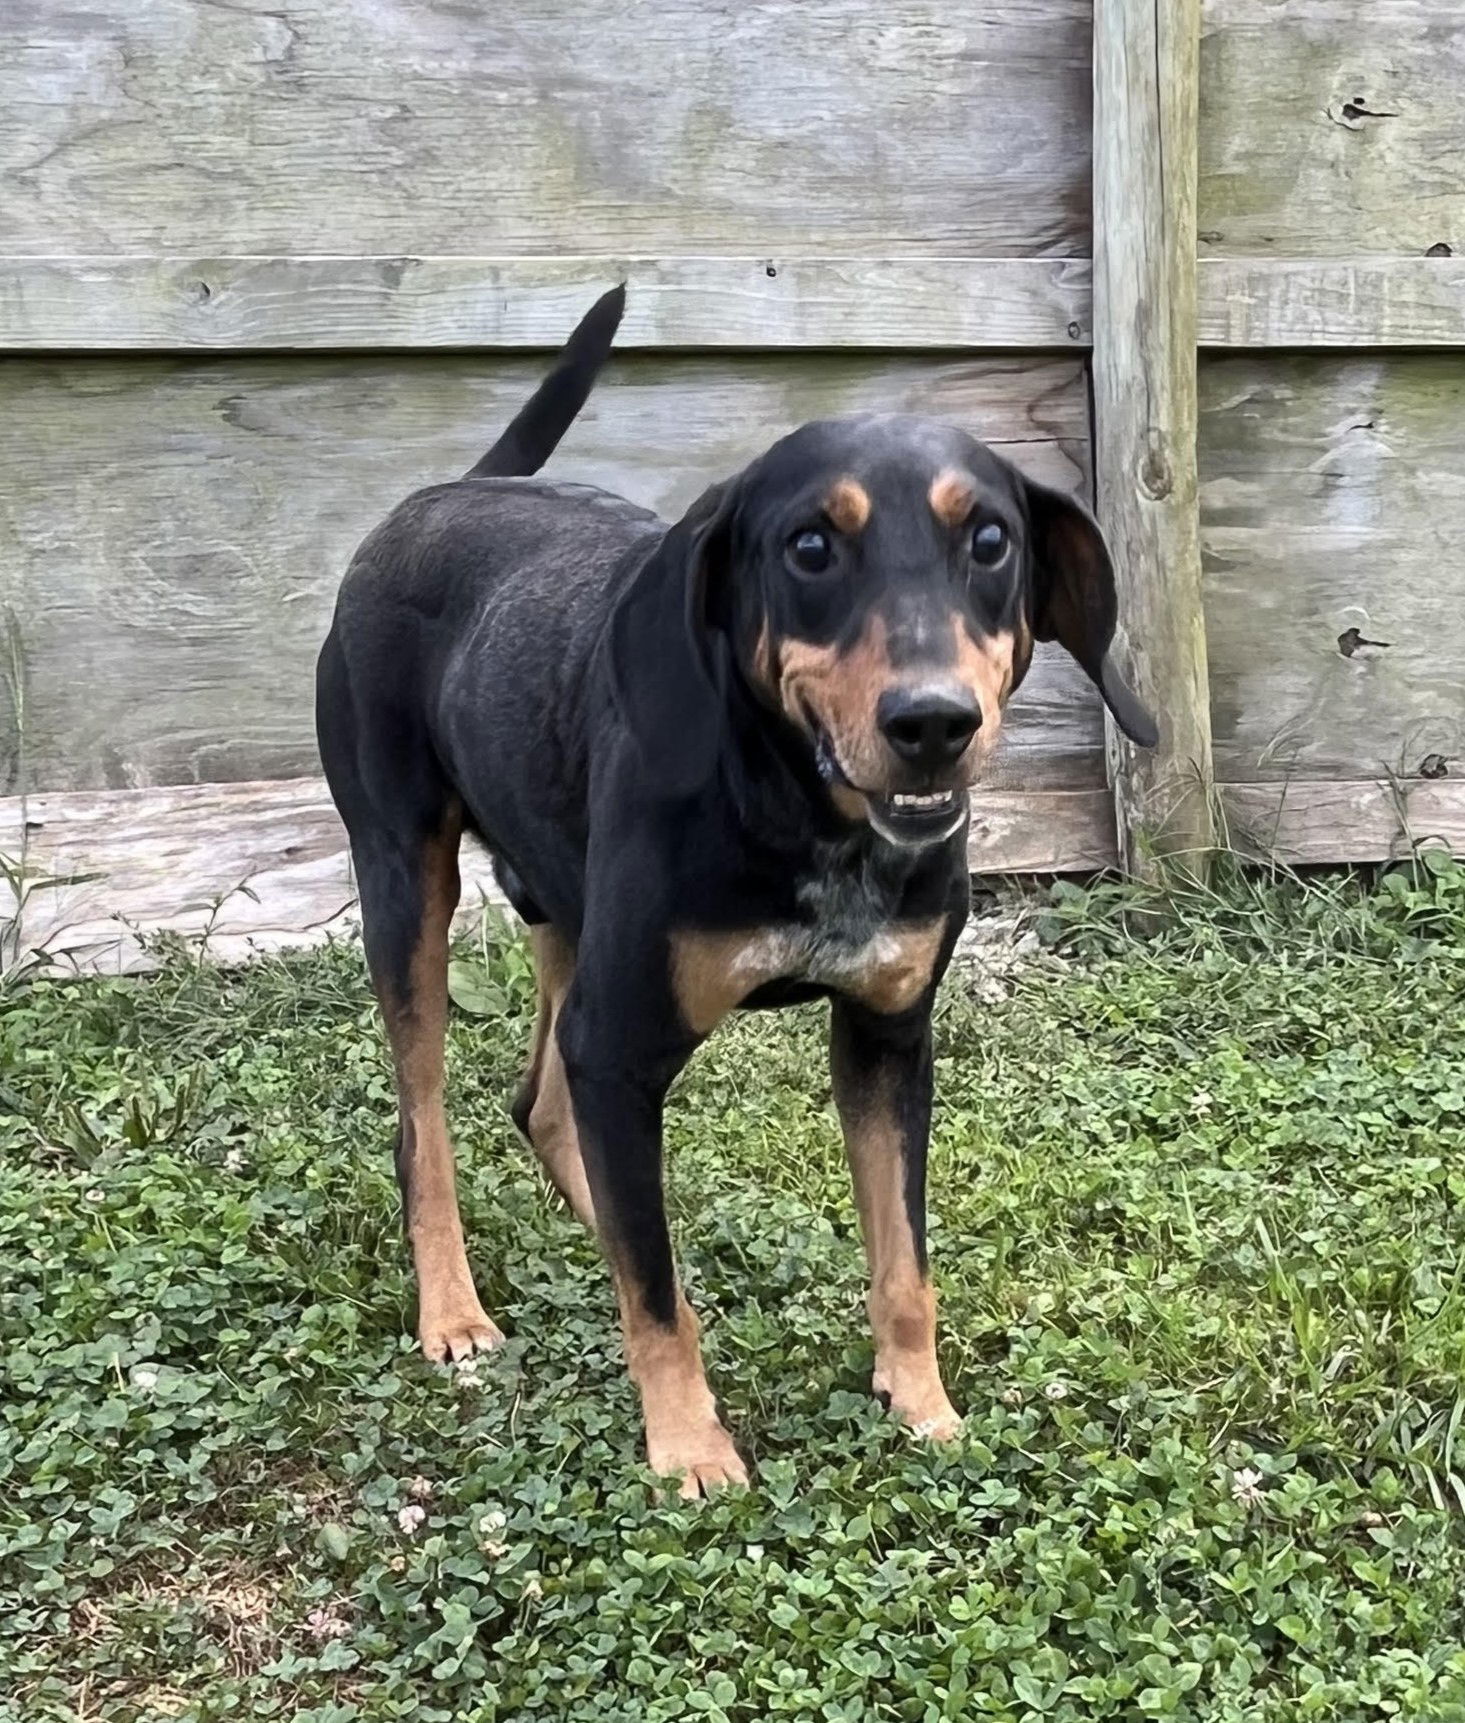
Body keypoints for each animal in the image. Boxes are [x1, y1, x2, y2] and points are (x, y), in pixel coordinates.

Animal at [320, 286, 1151, 1495]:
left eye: (989, 539)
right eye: (809, 545)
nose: (933, 722)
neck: (803, 817)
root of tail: (443, 493)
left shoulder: (887, 1036)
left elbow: (901, 1265)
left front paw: (923, 1405)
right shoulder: (623, 1038)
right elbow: (656, 1299)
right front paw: (689, 1448)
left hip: (566, 914)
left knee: (547, 1109)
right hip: (402, 882)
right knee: (425, 1124)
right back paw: (455, 1311)